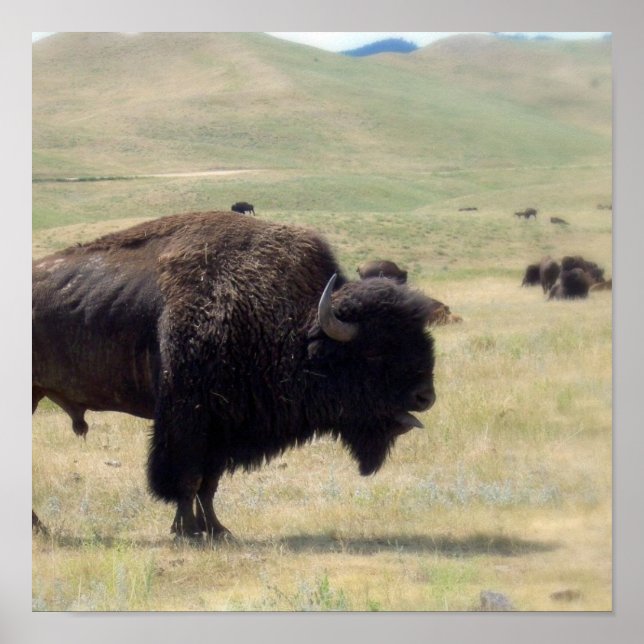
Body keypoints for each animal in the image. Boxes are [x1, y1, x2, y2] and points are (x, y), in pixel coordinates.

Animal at [33, 212, 437, 539]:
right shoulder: (187, 422)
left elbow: (208, 484)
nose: (425, 396)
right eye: (374, 351)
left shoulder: (222, 427)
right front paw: (188, 531)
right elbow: (186, 478)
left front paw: (217, 529)